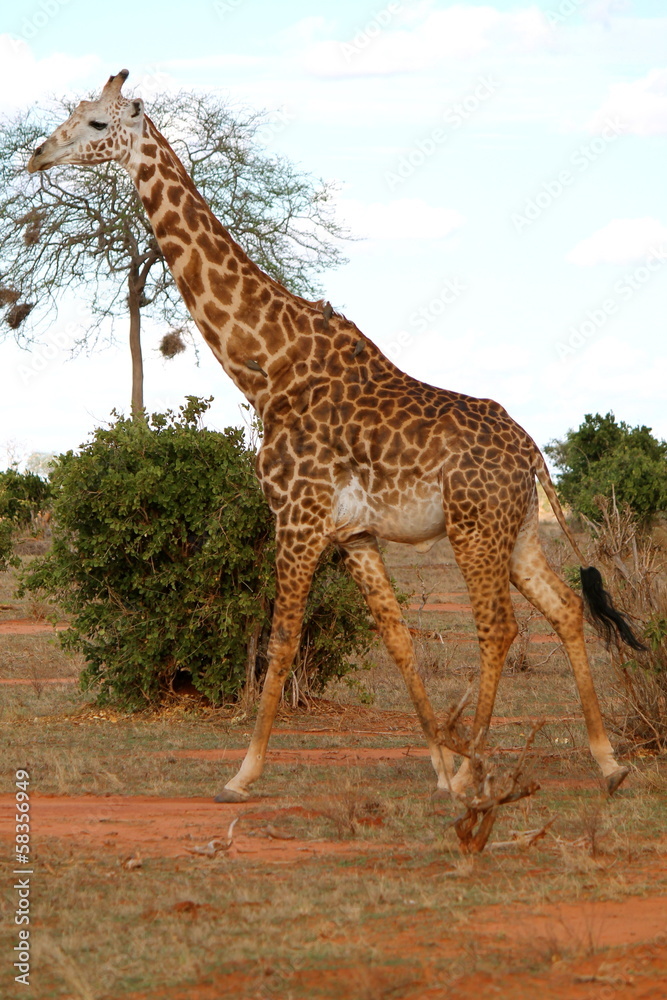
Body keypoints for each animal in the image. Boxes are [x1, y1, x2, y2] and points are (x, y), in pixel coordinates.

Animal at [29, 70, 644, 803]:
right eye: (73, 112)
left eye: (97, 123)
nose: (35, 156)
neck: (269, 367)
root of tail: (532, 455)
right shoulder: (354, 533)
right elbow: (396, 637)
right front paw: (438, 763)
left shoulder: (297, 516)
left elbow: (282, 638)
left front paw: (243, 774)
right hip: (516, 530)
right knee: (565, 609)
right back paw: (605, 761)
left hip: (473, 528)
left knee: (498, 628)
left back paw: (479, 767)